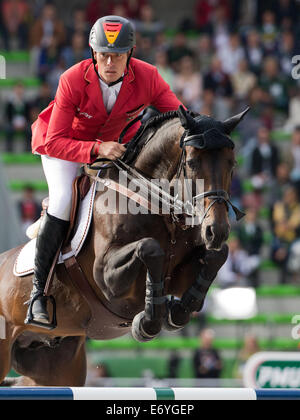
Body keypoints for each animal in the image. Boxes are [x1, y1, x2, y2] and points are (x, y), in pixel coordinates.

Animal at [0, 106, 248, 386]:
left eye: (232, 163)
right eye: (192, 163)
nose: (216, 230)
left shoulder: (182, 274)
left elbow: (218, 256)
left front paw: (176, 312)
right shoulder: (106, 279)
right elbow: (150, 248)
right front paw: (148, 322)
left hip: (54, 367)